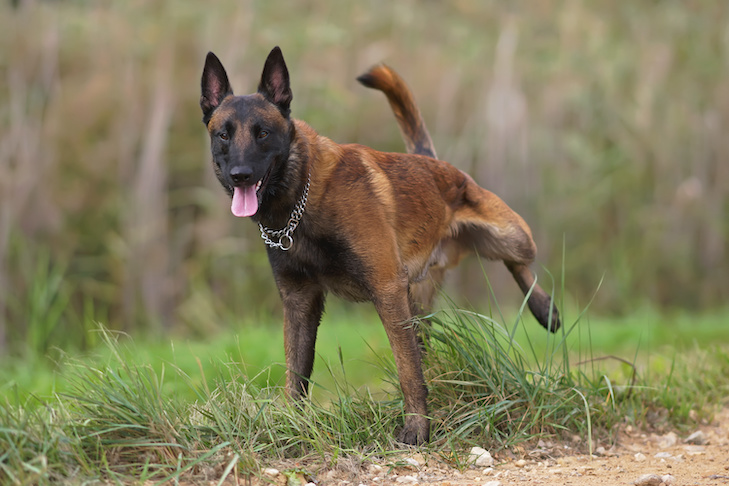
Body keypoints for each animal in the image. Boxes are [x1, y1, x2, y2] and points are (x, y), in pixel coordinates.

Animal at [199, 46, 556, 444]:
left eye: (262, 133)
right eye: (224, 135)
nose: (240, 175)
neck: (301, 201)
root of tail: (434, 163)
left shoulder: (386, 290)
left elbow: (407, 371)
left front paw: (417, 429)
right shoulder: (299, 302)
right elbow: (296, 374)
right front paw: (293, 427)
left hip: (513, 237)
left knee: (519, 262)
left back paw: (544, 309)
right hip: (421, 301)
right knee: (424, 343)